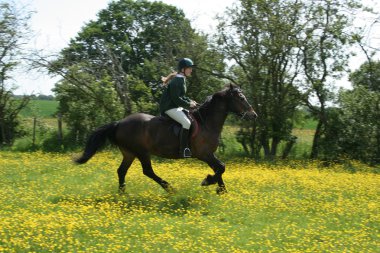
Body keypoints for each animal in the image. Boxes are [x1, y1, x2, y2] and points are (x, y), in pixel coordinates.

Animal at [74, 84, 258, 195]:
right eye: (241, 98)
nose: (254, 115)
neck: (207, 122)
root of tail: (119, 123)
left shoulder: (209, 154)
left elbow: (220, 168)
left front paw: (221, 190)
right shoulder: (204, 154)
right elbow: (221, 167)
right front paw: (208, 182)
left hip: (129, 153)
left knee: (121, 171)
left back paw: (123, 193)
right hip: (141, 152)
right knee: (147, 171)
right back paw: (170, 188)